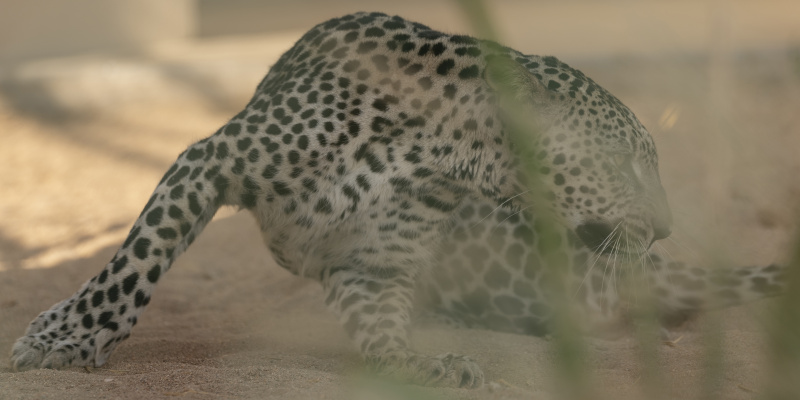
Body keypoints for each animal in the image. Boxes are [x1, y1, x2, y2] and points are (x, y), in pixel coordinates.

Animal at [10, 12, 787, 388]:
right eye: (625, 165)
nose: (665, 226)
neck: (443, 149)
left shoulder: (372, 264)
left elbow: (381, 326)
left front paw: (420, 364)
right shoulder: (209, 161)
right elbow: (133, 266)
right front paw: (64, 338)